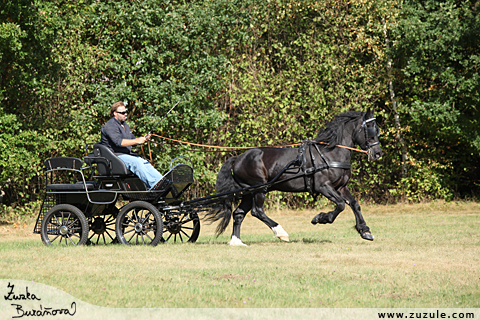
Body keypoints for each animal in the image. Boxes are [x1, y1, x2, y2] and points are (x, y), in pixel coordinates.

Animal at [206, 109, 382, 246]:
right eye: (370, 130)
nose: (378, 153)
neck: (330, 153)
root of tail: (238, 158)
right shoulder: (323, 186)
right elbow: (340, 205)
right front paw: (320, 218)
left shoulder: (341, 187)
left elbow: (355, 204)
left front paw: (365, 231)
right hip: (259, 189)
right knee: (257, 211)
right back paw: (281, 233)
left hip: (249, 192)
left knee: (239, 213)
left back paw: (236, 241)